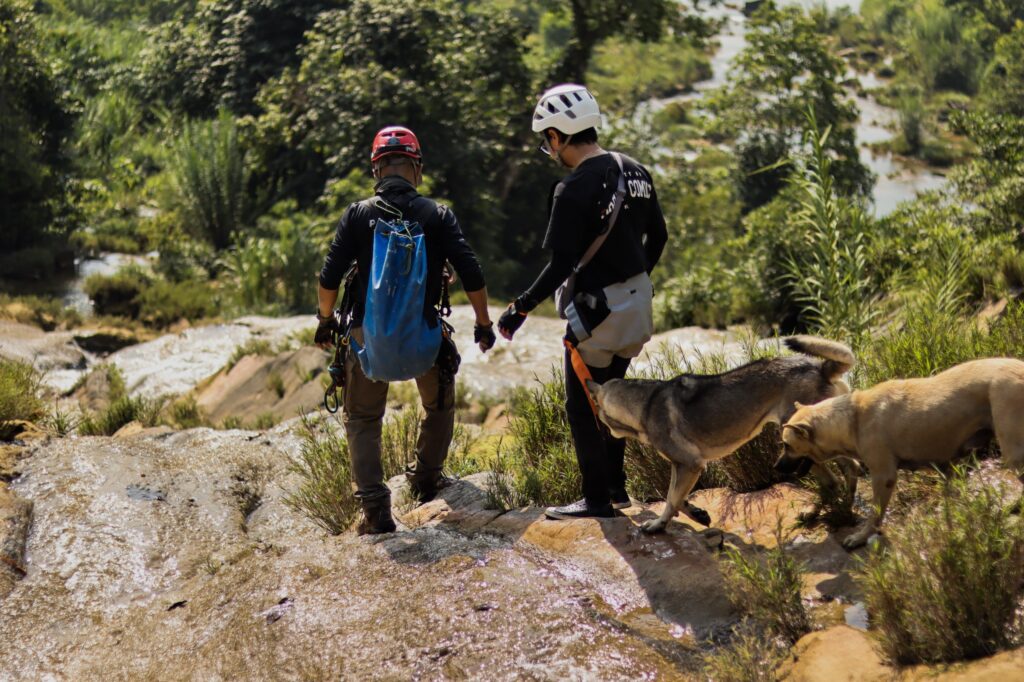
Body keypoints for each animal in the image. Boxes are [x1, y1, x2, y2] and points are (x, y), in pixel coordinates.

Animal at [585, 337, 856, 532]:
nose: (602, 432)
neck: (645, 403)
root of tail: (820, 367)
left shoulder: (690, 464)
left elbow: (671, 498)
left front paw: (658, 525)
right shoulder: (683, 466)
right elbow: (676, 496)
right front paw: (697, 514)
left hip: (801, 442)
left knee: (841, 474)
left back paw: (840, 512)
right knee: (839, 477)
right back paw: (827, 512)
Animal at [774, 356, 1024, 548]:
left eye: (787, 445)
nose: (776, 467)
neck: (851, 419)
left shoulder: (883, 476)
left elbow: (875, 513)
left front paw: (860, 537)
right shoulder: (948, 469)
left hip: (1013, 449)